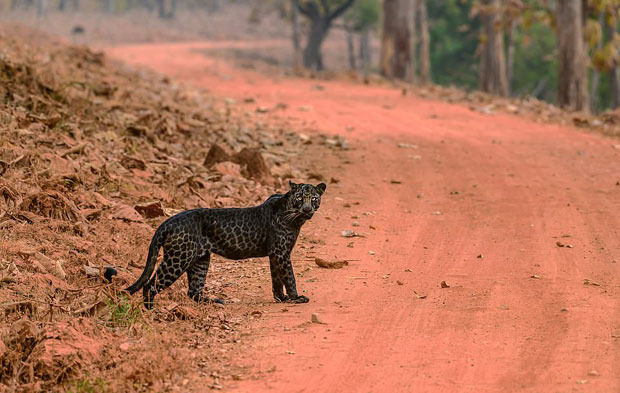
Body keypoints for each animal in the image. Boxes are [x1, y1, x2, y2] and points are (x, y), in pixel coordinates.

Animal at [124, 179, 326, 308]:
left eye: (314, 198)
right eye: (300, 198)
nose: (307, 209)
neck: (294, 217)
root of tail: (168, 222)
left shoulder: (275, 254)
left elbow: (276, 278)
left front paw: (281, 298)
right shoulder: (281, 252)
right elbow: (289, 276)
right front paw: (295, 297)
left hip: (200, 260)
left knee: (193, 291)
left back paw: (216, 302)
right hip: (179, 258)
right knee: (151, 285)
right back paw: (151, 311)